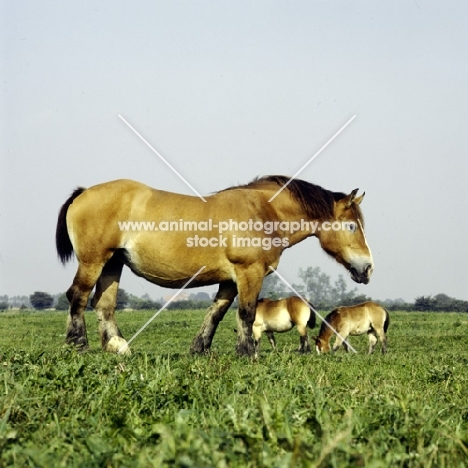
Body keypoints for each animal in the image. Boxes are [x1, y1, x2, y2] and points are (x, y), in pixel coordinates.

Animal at [54, 174, 372, 356]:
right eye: (352, 226)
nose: (367, 268)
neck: (264, 211)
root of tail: (83, 192)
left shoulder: (229, 279)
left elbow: (216, 313)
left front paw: (200, 349)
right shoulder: (249, 273)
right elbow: (246, 313)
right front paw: (248, 352)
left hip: (113, 263)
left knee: (103, 304)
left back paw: (117, 346)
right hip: (94, 261)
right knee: (78, 296)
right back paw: (78, 344)